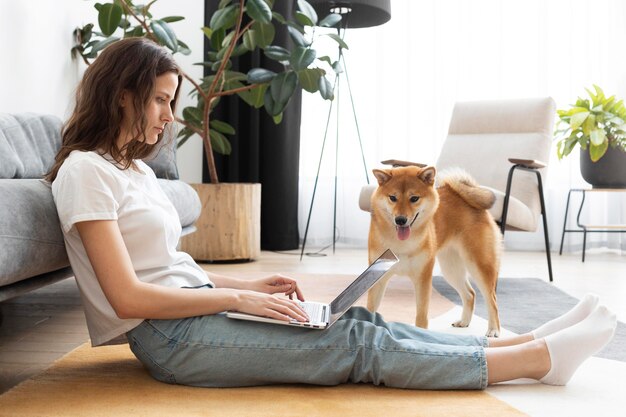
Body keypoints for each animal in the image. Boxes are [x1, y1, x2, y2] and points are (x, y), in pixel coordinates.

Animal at [366, 165, 502, 334]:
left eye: (414, 198)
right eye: (392, 197)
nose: (400, 220)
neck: (401, 244)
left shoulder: (423, 277)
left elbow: (421, 315)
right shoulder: (377, 278)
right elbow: (370, 308)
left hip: (479, 265)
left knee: (492, 300)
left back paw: (494, 329)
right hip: (451, 269)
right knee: (470, 294)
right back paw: (464, 321)